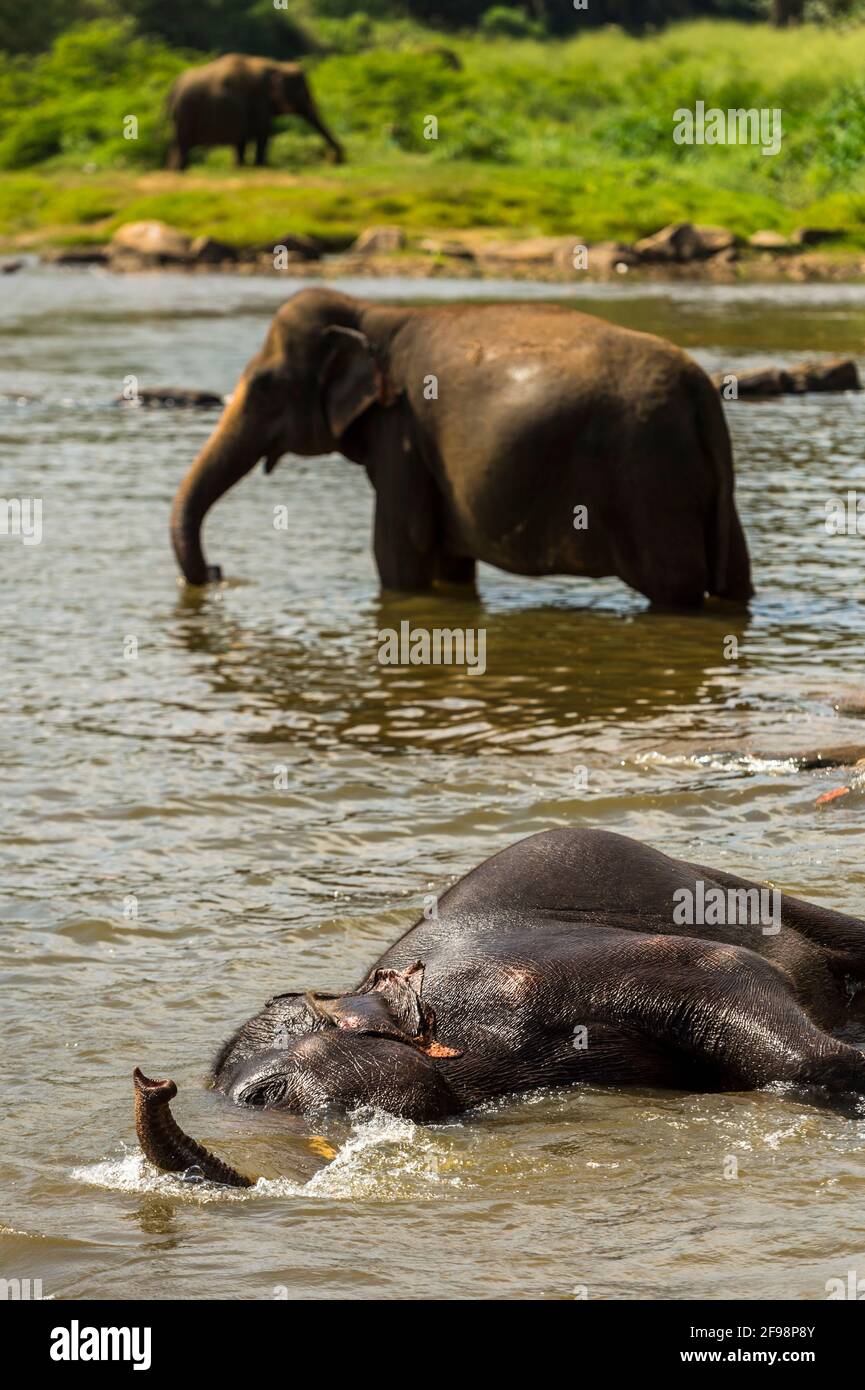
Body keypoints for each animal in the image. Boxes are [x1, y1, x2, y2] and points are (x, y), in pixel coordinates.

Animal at [166, 53, 346, 170]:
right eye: (303, 93)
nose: (336, 160)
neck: (277, 65)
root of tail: (173, 89)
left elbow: (242, 140)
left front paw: (240, 167)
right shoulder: (259, 101)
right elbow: (264, 132)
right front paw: (261, 166)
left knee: (177, 146)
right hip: (186, 114)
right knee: (182, 148)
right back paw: (178, 171)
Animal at [171, 287, 750, 608]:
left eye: (264, 386)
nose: (218, 573)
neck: (372, 312)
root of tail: (699, 387)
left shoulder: (401, 431)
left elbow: (398, 555)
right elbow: (450, 565)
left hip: (649, 478)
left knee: (676, 588)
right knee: (733, 581)